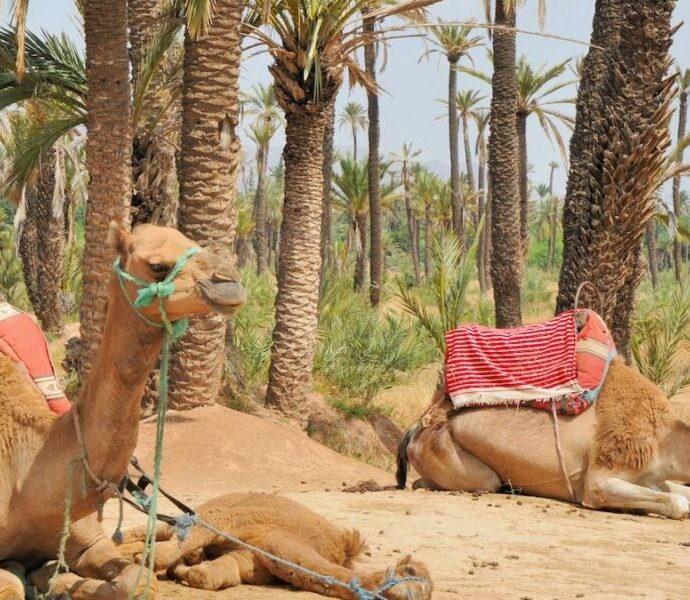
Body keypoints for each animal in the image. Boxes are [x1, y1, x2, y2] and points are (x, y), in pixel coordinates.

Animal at [0, 222, 246, 600]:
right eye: (157, 265)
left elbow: (137, 580)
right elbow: (11, 584)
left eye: (191, 241)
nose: (229, 282)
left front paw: (59, 580)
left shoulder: (86, 537)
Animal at [117, 492, 433, 600]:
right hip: (208, 509)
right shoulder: (224, 519)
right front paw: (146, 562)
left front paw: (184, 570)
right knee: (154, 529)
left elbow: (207, 576)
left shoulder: (249, 559)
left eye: (428, 591)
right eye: (412, 573)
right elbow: (176, 550)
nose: (419, 594)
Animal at [398, 358, 690, 519]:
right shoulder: (599, 481)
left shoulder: (650, 477)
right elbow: (680, 502)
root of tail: (417, 427)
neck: (662, 438)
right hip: (457, 459)